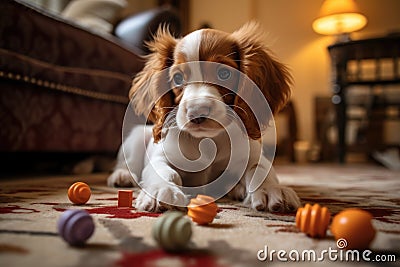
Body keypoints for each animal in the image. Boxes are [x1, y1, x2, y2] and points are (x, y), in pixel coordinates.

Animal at [108, 21, 302, 214]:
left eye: (224, 74)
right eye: (178, 78)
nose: (196, 111)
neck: (207, 140)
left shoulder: (253, 155)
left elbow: (260, 169)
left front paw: (271, 189)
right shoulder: (161, 157)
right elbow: (165, 171)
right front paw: (162, 190)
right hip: (135, 138)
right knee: (127, 163)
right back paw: (121, 176)